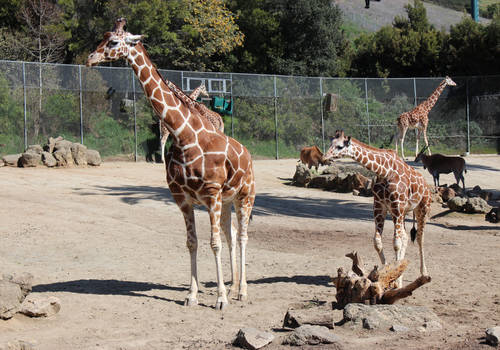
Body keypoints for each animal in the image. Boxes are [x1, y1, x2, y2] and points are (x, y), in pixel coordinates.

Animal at [86, 18, 256, 308]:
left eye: (113, 41)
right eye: (104, 37)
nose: (89, 58)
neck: (183, 135)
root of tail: (248, 155)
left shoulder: (211, 193)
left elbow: (214, 243)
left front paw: (220, 299)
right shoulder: (183, 198)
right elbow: (192, 242)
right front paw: (192, 295)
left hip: (245, 196)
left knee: (242, 236)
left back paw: (241, 291)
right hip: (227, 201)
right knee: (231, 234)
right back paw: (233, 286)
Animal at [326, 129, 432, 288]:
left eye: (340, 146)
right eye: (330, 143)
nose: (325, 157)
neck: (384, 171)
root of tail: (426, 185)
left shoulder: (396, 206)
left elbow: (396, 243)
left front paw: (397, 281)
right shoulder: (379, 206)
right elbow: (378, 243)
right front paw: (388, 274)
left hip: (422, 208)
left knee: (420, 238)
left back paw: (423, 272)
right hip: (403, 213)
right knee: (406, 236)